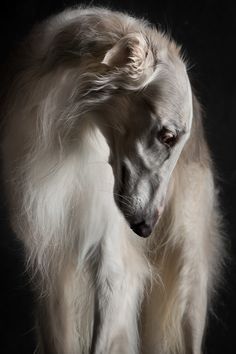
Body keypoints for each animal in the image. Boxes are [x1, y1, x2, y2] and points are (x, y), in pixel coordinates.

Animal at [0, 5, 223, 354]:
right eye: (167, 136)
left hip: (187, 271)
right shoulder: (53, 266)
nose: (146, 229)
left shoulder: (114, 266)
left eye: (176, 140)